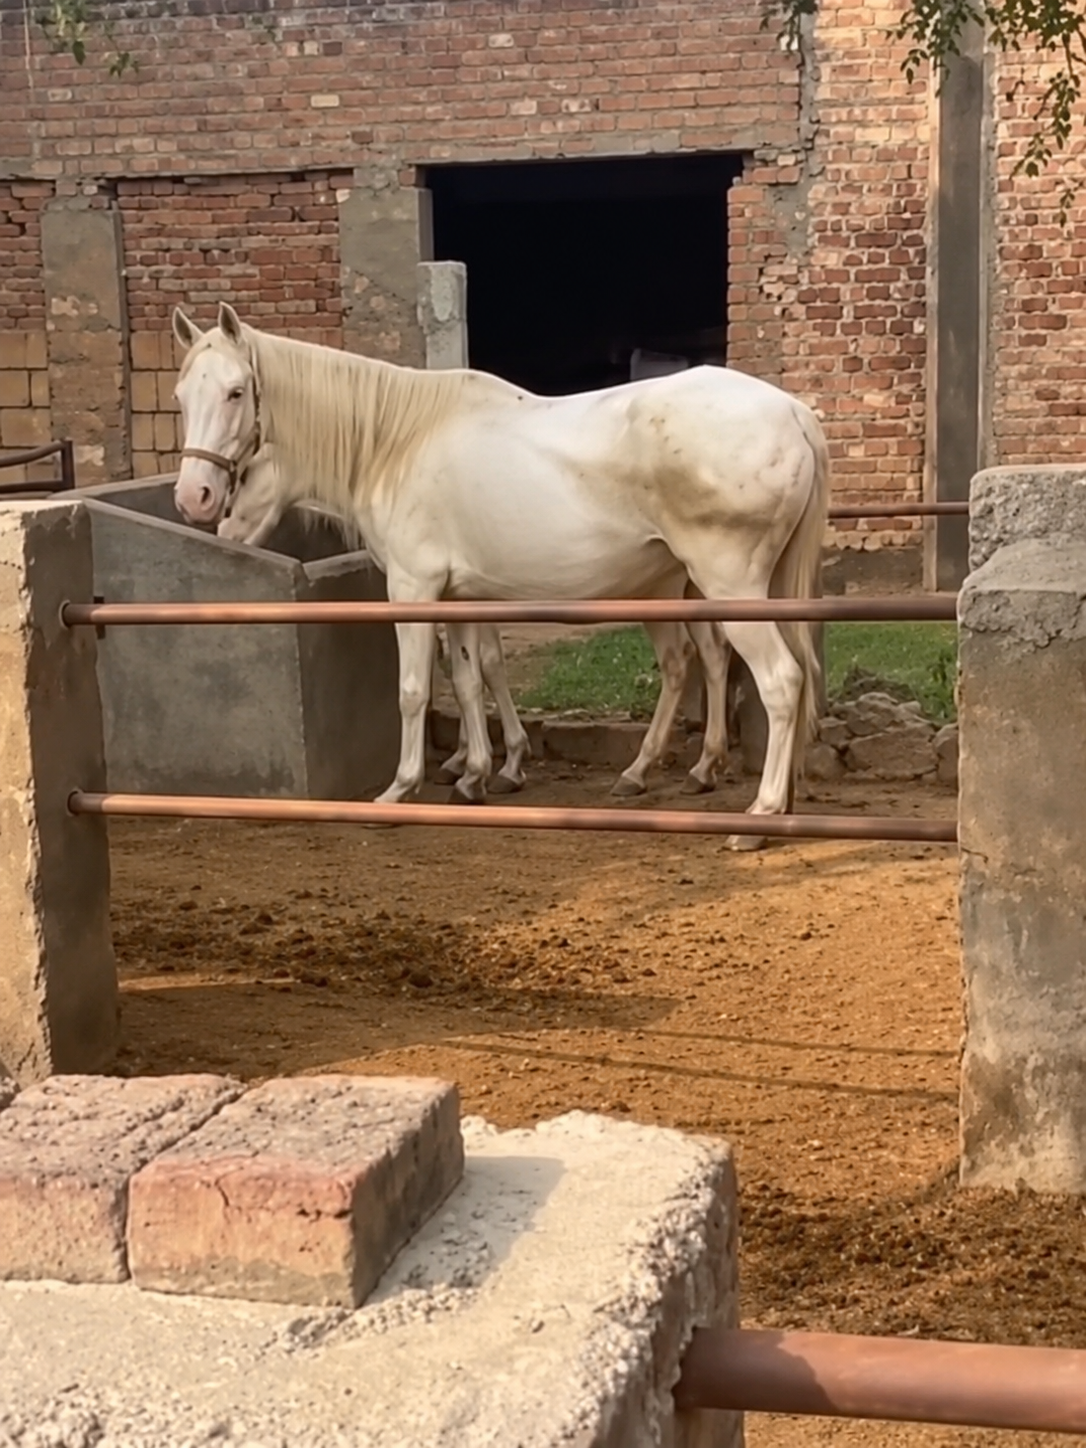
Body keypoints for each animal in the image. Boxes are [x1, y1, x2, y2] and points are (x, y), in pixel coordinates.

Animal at [171, 302, 829, 850]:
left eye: (235, 392)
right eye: (180, 395)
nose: (195, 499)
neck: (396, 442)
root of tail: (794, 413)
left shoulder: (413, 591)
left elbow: (414, 691)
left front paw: (401, 790)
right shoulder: (462, 598)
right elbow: (469, 680)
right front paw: (478, 775)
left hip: (728, 588)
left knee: (778, 681)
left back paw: (758, 817)